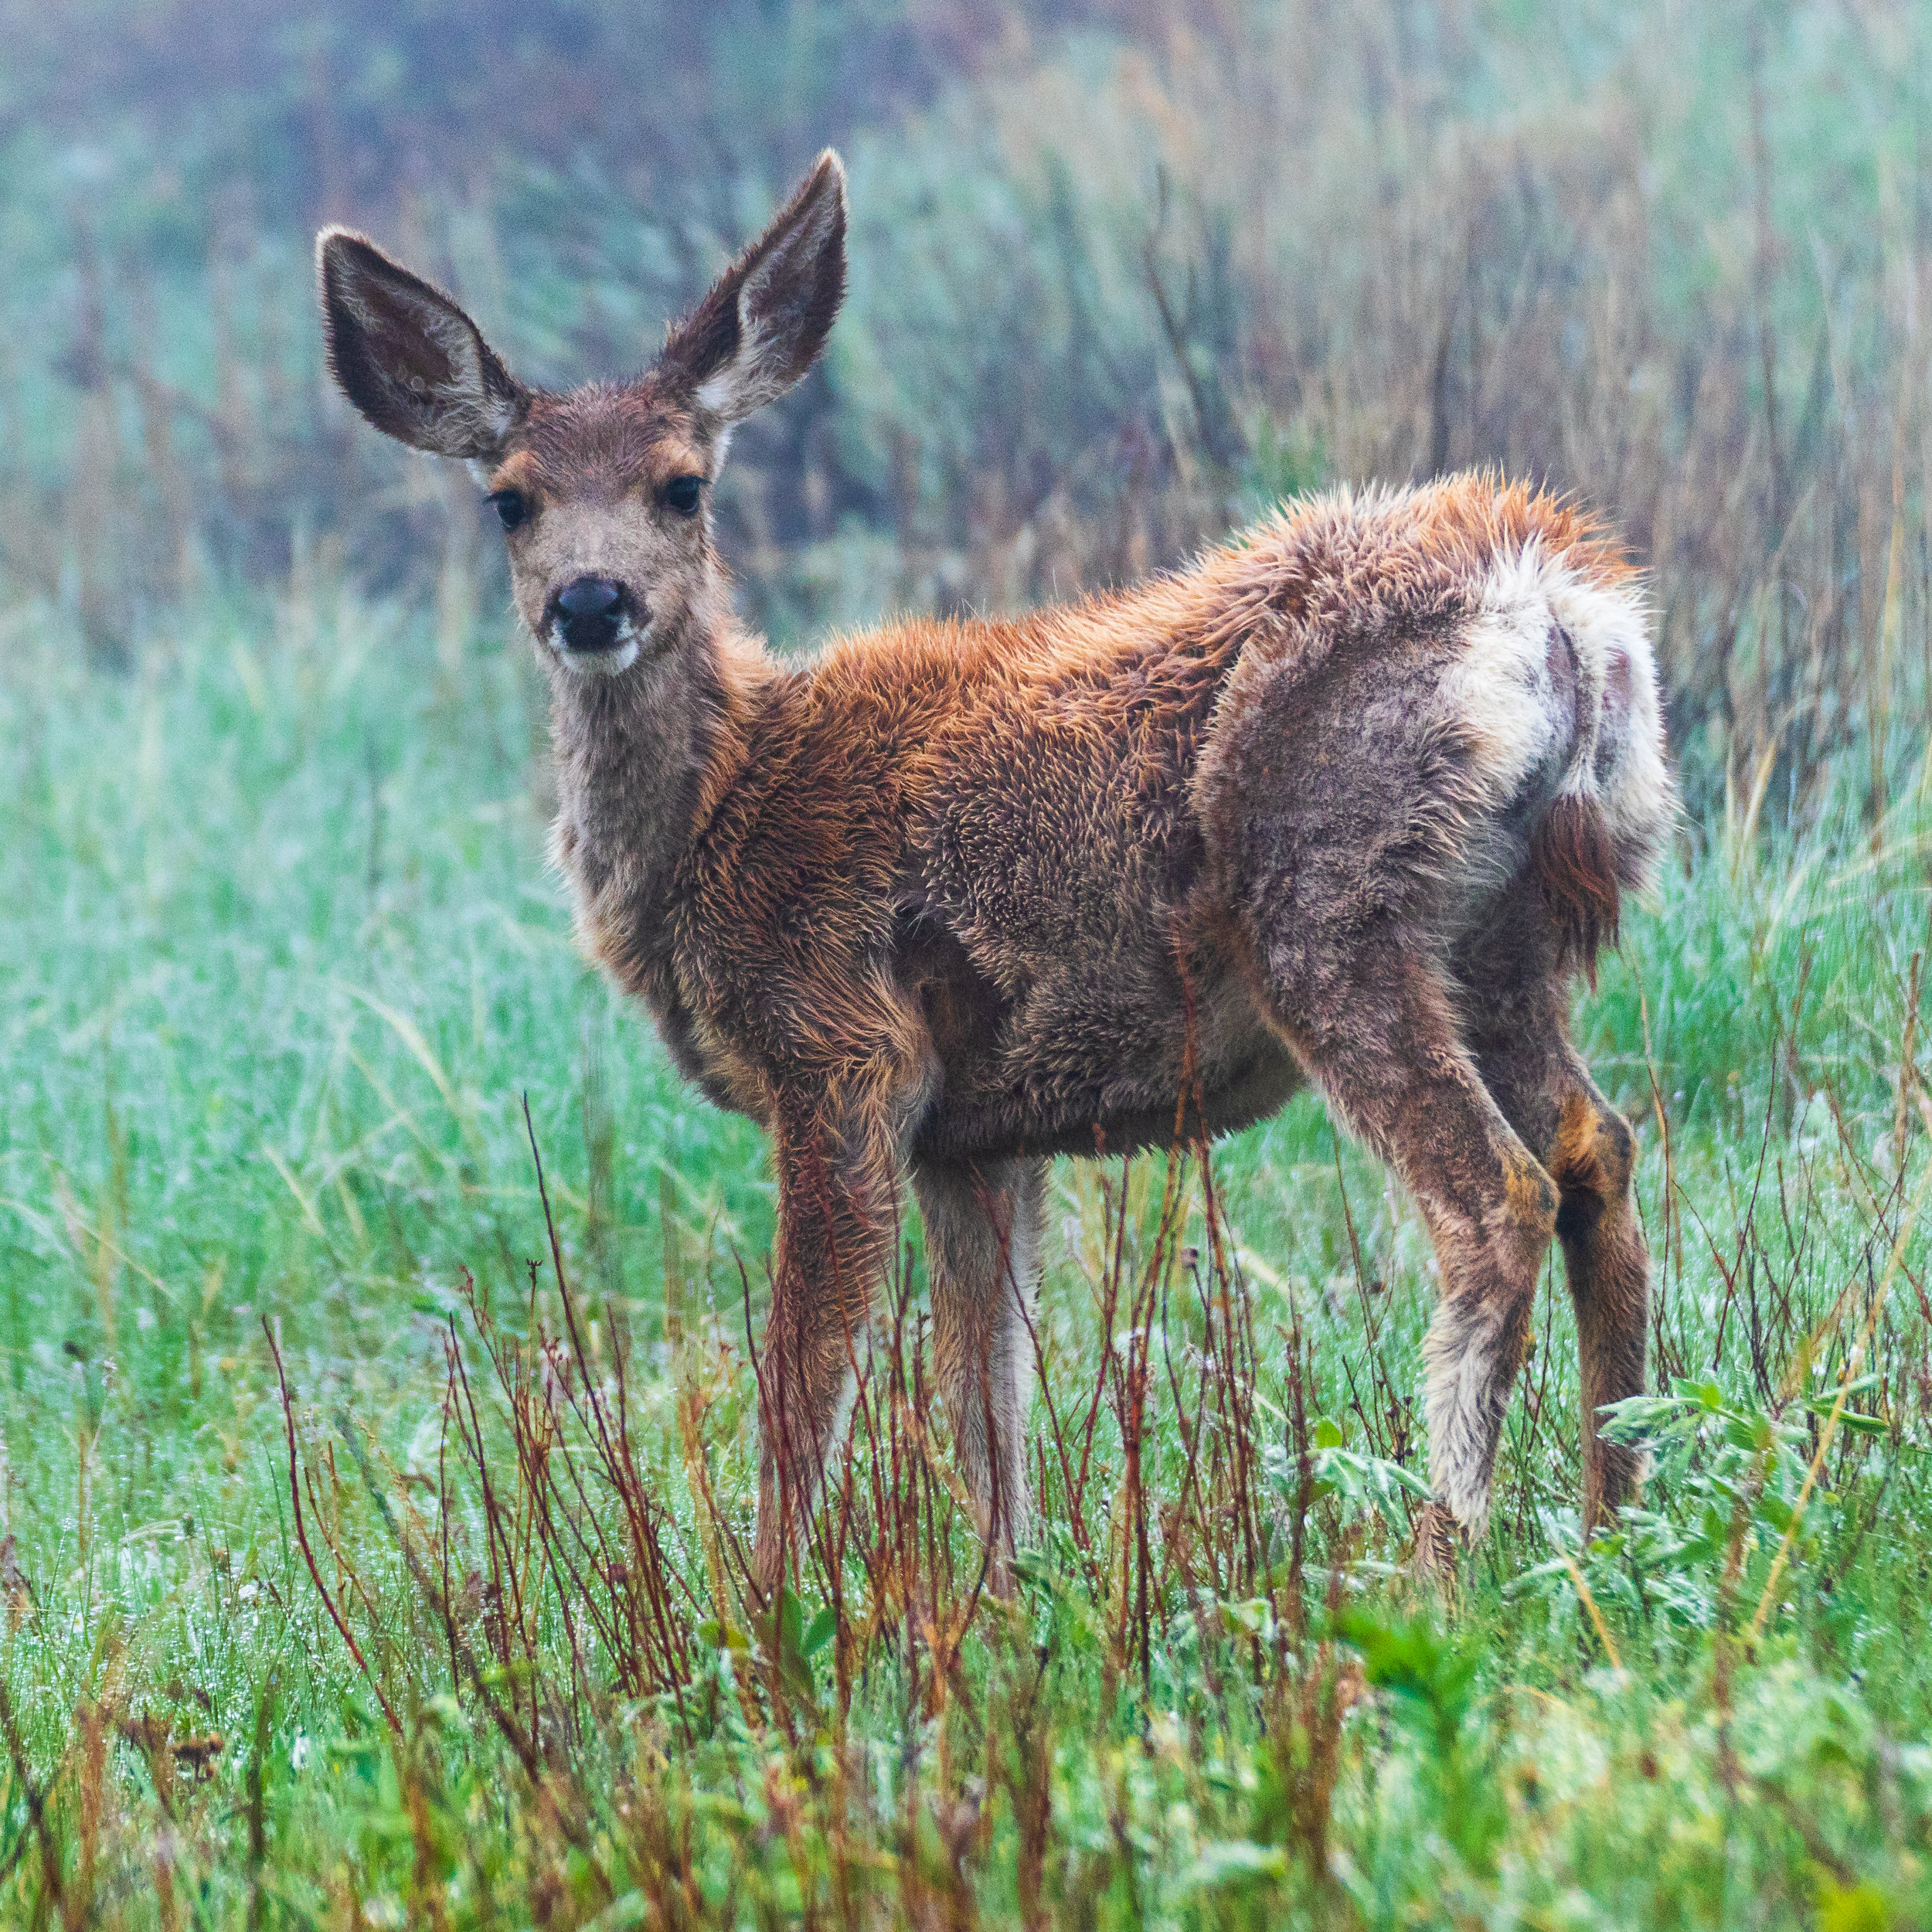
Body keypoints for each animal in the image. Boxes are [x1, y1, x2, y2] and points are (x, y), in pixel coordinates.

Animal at [321, 151, 1677, 1600]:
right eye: (509, 497)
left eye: (682, 485)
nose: (589, 602)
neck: (727, 809)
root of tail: (1567, 612)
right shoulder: (978, 1134)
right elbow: (989, 1404)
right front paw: (1000, 1598)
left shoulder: (843, 1052)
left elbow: (805, 1384)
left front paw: (771, 1611)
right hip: (1499, 936)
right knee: (1596, 1150)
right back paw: (1615, 1525)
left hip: (1332, 901)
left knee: (1497, 1195)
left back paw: (1434, 1563)